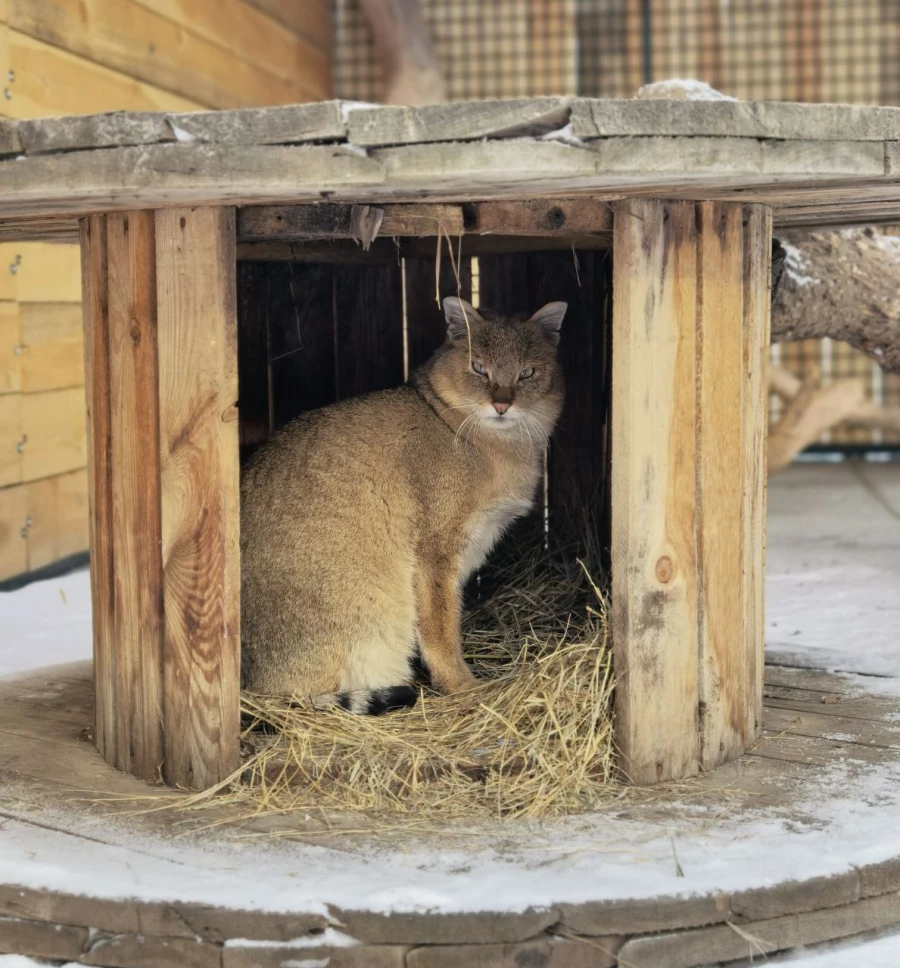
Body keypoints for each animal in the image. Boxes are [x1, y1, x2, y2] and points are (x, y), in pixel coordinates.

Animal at [237, 294, 564, 712]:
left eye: (527, 373)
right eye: (478, 367)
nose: (502, 405)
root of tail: (246, 682)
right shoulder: (435, 553)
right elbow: (441, 627)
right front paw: (463, 686)